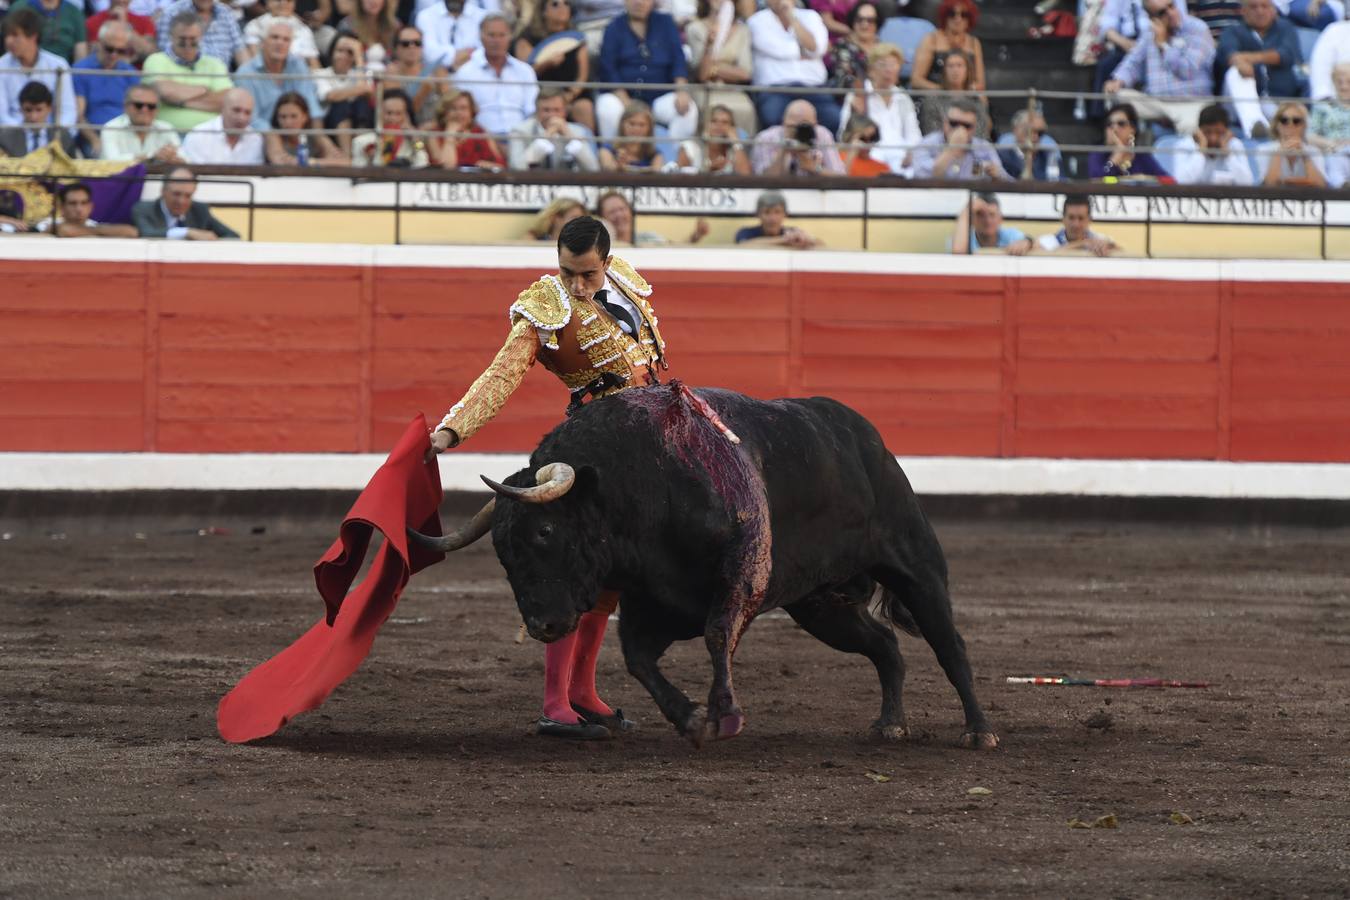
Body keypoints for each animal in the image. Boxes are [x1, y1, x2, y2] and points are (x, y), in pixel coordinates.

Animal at [410, 383, 1004, 750]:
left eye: (545, 532)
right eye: (502, 551)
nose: (542, 625)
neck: (640, 483)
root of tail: (866, 435)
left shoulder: (737, 573)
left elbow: (719, 635)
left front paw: (724, 714)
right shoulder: (653, 600)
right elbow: (637, 658)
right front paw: (691, 719)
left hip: (915, 565)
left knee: (949, 644)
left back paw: (978, 731)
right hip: (820, 605)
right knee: (884, 646)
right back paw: (890, 723)